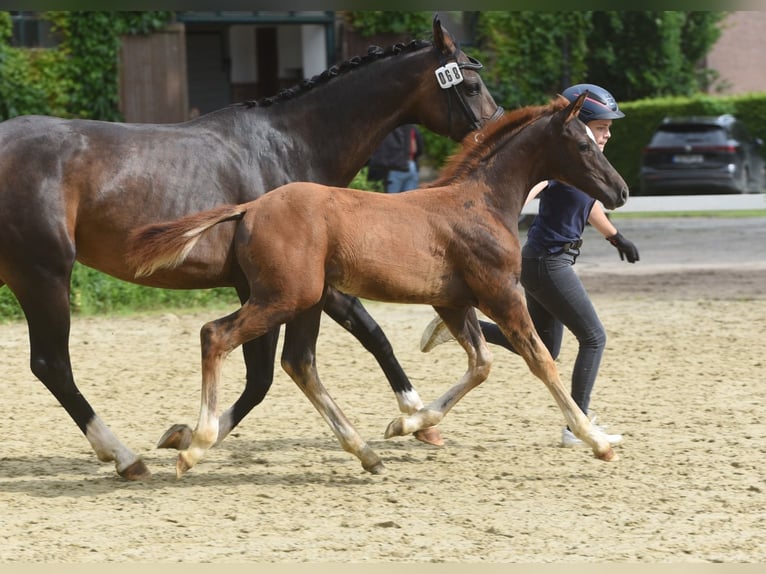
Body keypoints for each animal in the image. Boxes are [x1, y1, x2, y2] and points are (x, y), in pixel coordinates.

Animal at [0, 16, 501, 480]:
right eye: (471, 84)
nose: (495, 132)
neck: (289, 145)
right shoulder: (270, 287)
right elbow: (262, 377)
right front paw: (191, 439)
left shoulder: (312, 283)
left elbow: (371, 332)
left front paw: (418, 419)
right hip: (44, 275)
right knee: (52, 365)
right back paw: (125, 457)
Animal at [125, 92, 629, 477]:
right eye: (584, 145)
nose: (621, 191)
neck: (479, 204)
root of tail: (249, 208)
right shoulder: (501, 293)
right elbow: (541, 360)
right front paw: (597, 440)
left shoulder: (452, 302)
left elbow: (481, 364)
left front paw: (405, 425)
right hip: (282, 298)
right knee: (216, 335)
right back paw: (195, 445)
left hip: (306, 301)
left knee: (299, 363)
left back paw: (366, 453)